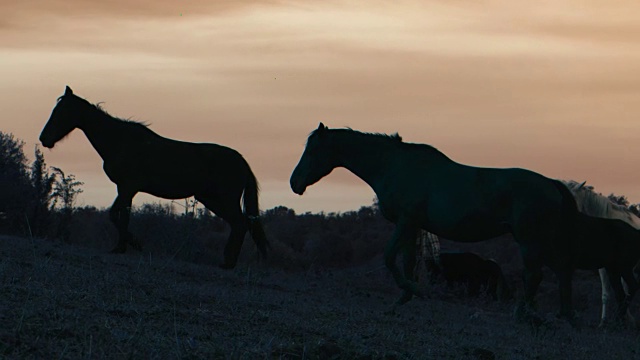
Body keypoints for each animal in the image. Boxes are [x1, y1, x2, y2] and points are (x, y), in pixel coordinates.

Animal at [38, 86, 268, 268]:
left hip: (224, 199)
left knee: (240, 224)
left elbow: (117, 215)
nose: (44, 138)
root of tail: (241, 161)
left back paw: (229, 262)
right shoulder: (124, 188)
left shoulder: (128, 187)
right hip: (211, 199)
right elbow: (119, 215)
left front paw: (130, 244)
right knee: (238, 224)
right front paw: (124, 246)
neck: (119, 141)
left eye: (62, 112)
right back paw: (228, 261)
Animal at [290, 122, 580, 320]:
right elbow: (407, 263)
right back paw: (563, 316)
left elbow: (389, 258)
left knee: (535, 275)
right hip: (542, 242)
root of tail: (552, 184)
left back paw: (522, 314)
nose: (294, 182)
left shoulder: (405, 222)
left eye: (312, 150)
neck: (394, 166)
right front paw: (402, 300)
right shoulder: (412, 227)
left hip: (530, 240)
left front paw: (416, 291)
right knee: (561, 271)